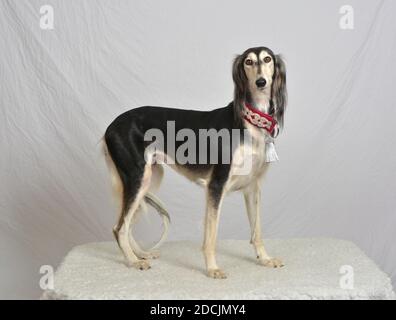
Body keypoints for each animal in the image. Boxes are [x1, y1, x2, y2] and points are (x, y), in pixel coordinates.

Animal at [103, 46, 286, 278]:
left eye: (267, 59)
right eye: (249, 62)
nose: (261, 82)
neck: (250, 124)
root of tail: (111, 126)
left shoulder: (252, 187)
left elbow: (257, 231)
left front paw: (265, 259)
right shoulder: (215, 186)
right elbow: (211, 236)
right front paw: (212, 269)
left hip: (148, 180)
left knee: (125, 225)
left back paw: (140, 255)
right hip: (137, 178)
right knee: (119, 228)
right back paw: (133, 261)